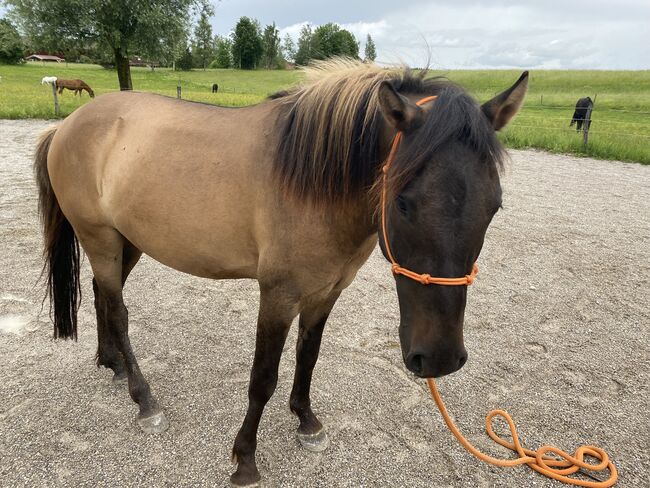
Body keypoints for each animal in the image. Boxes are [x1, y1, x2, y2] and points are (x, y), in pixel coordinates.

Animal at [34, 60, 528, 484]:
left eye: (495, 206)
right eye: (404, 203)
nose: (441, 359)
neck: (316, 182)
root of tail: (67, 125)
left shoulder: (327, 292)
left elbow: (308, 357)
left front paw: (306, 421)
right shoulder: (278, 296)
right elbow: (262, 378)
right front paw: (245, 459)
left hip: (126, 242)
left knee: (102, 295)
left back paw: (113, 363)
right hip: (100, 238)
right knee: (118, 311)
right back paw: (144, 399)